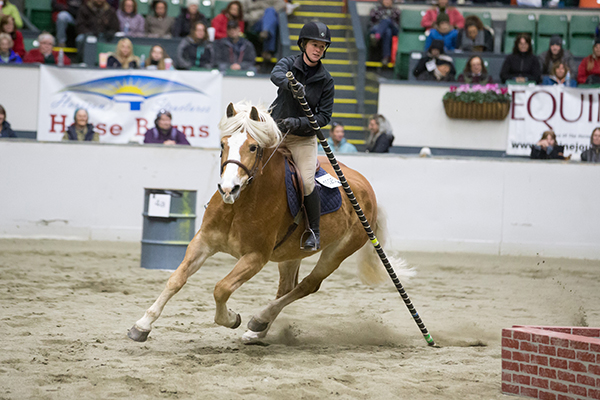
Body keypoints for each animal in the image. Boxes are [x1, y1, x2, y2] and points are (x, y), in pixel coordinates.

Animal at [127, 101, 408, 342]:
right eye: (223, 144)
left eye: (253, 147)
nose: (228, 189)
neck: (239, 205)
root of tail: (366, 188)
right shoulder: (203, 242)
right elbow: (176, 279)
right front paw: (142, 325)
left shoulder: (255, 257)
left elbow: (221, 288)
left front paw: (231, 319)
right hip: (291, 253)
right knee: (287, 287)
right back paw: (258, 330)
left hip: (337, 252)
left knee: (308, 284)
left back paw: (259, 320)